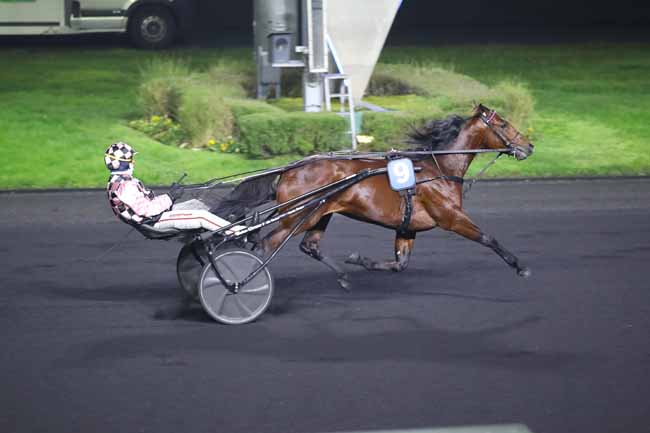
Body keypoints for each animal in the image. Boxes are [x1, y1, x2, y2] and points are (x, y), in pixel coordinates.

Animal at [215, 103, 528, 288]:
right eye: (502, 124)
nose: (529, 146)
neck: (440, 169)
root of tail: (291, 168)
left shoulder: (408, 227)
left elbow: (400, 264)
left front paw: (358, 260)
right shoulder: (451, 217)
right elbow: (487, 238)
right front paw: (520, 266)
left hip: (319, 213)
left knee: (309, 245)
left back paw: (343, 277)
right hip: (299, 216)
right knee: (265, 244)